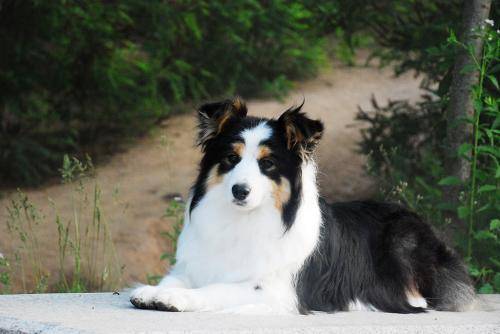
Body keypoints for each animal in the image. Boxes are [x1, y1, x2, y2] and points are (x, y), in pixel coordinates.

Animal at [131, 98, 474, 314]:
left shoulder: (272, 289)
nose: (239, 191)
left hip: (401, 240)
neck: (246, 219)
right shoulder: (194, 265)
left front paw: (174, 297)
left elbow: (215, 289)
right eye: (231, 158)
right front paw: (154, 291)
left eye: (268, 163)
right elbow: (175, 278)